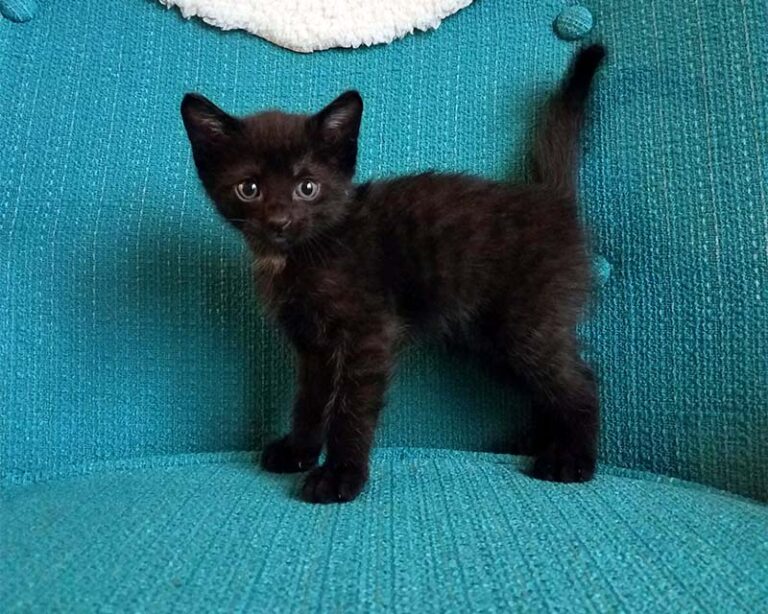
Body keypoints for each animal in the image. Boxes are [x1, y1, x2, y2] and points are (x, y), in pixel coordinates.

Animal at [182, 44, 608, 506]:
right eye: (249, 189)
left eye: (307, 187)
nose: (279, 221)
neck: (306, 252)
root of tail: (552, 201)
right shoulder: (313, 346)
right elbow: (309, 400)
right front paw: (299, 451)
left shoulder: (368, 332)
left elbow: (350, 407)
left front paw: (340, 475)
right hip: (490, 339)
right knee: (547, 388)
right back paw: (539, 444)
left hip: (525, 322)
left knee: (578, 382)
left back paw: (571, 459)